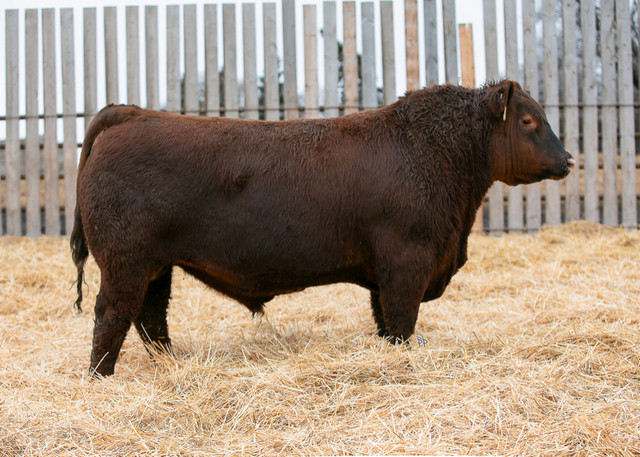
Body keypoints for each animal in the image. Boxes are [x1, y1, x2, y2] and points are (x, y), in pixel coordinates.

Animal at [71, 80, 576, 376]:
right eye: (528, 120)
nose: (568, 159)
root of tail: (132, 113)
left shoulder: (384, 276)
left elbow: (385, 325)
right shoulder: (406, 265)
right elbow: (401, 324)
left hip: (156, 267)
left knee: (151, 318)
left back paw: (172, 365)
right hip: (125, 262)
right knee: (111, 316)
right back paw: (101, 378)